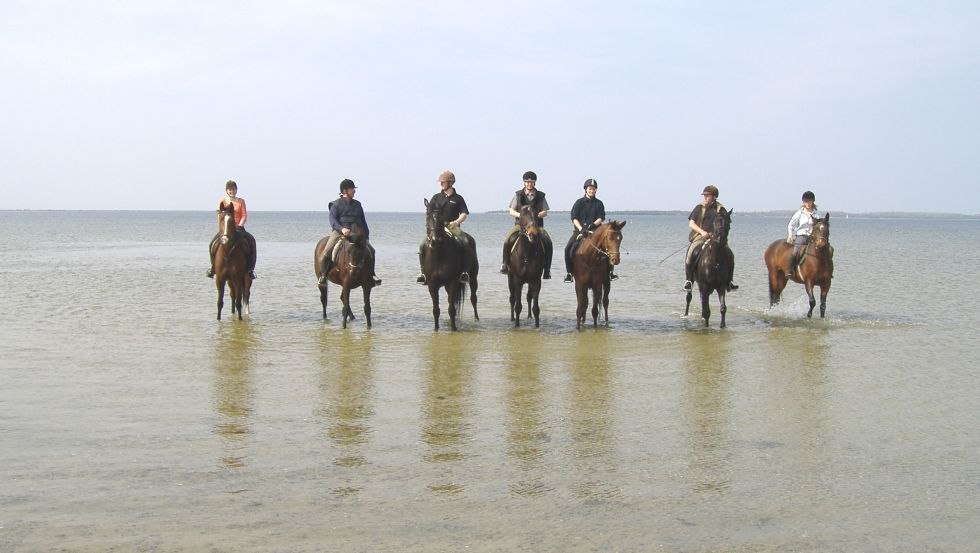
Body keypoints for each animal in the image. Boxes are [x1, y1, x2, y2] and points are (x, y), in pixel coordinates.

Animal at [424, 197, 480, 330]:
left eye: (441, 218)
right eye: (427, 216)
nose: (435, 240)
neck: (438, 254)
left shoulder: (452, 282)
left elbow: (451, 309)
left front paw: (454, 329)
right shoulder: (432, 285)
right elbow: (436, 310)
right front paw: (436, 329)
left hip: (473, 278)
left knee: (473, 298)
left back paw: (476, 319)